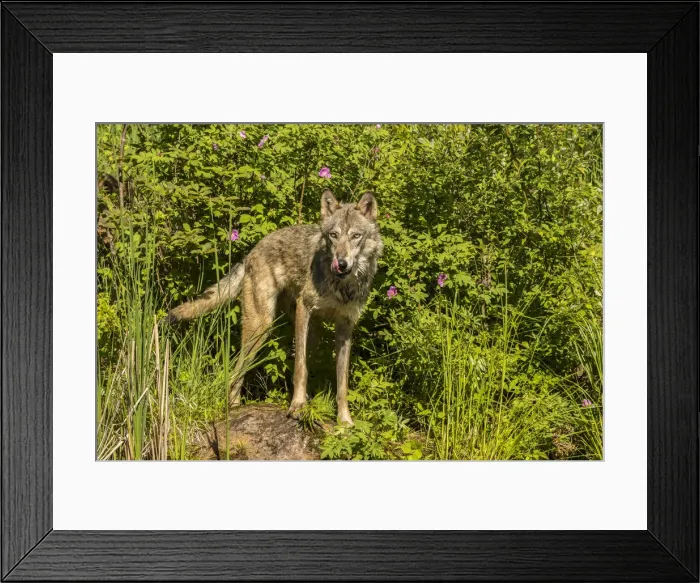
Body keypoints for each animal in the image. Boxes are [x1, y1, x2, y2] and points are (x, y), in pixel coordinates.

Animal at [167, 190, 383, 425]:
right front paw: (297, 406)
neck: (341, 286)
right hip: (261, 327)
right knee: (236, 371)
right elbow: (300, 369)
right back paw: (234, 409)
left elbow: (342, 383)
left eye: (356, 236)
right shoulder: (304, 308)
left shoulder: (345, 327)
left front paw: (344, 421)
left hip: (307, 331)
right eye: (333, 235)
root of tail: (251, 252)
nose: (341, 263)